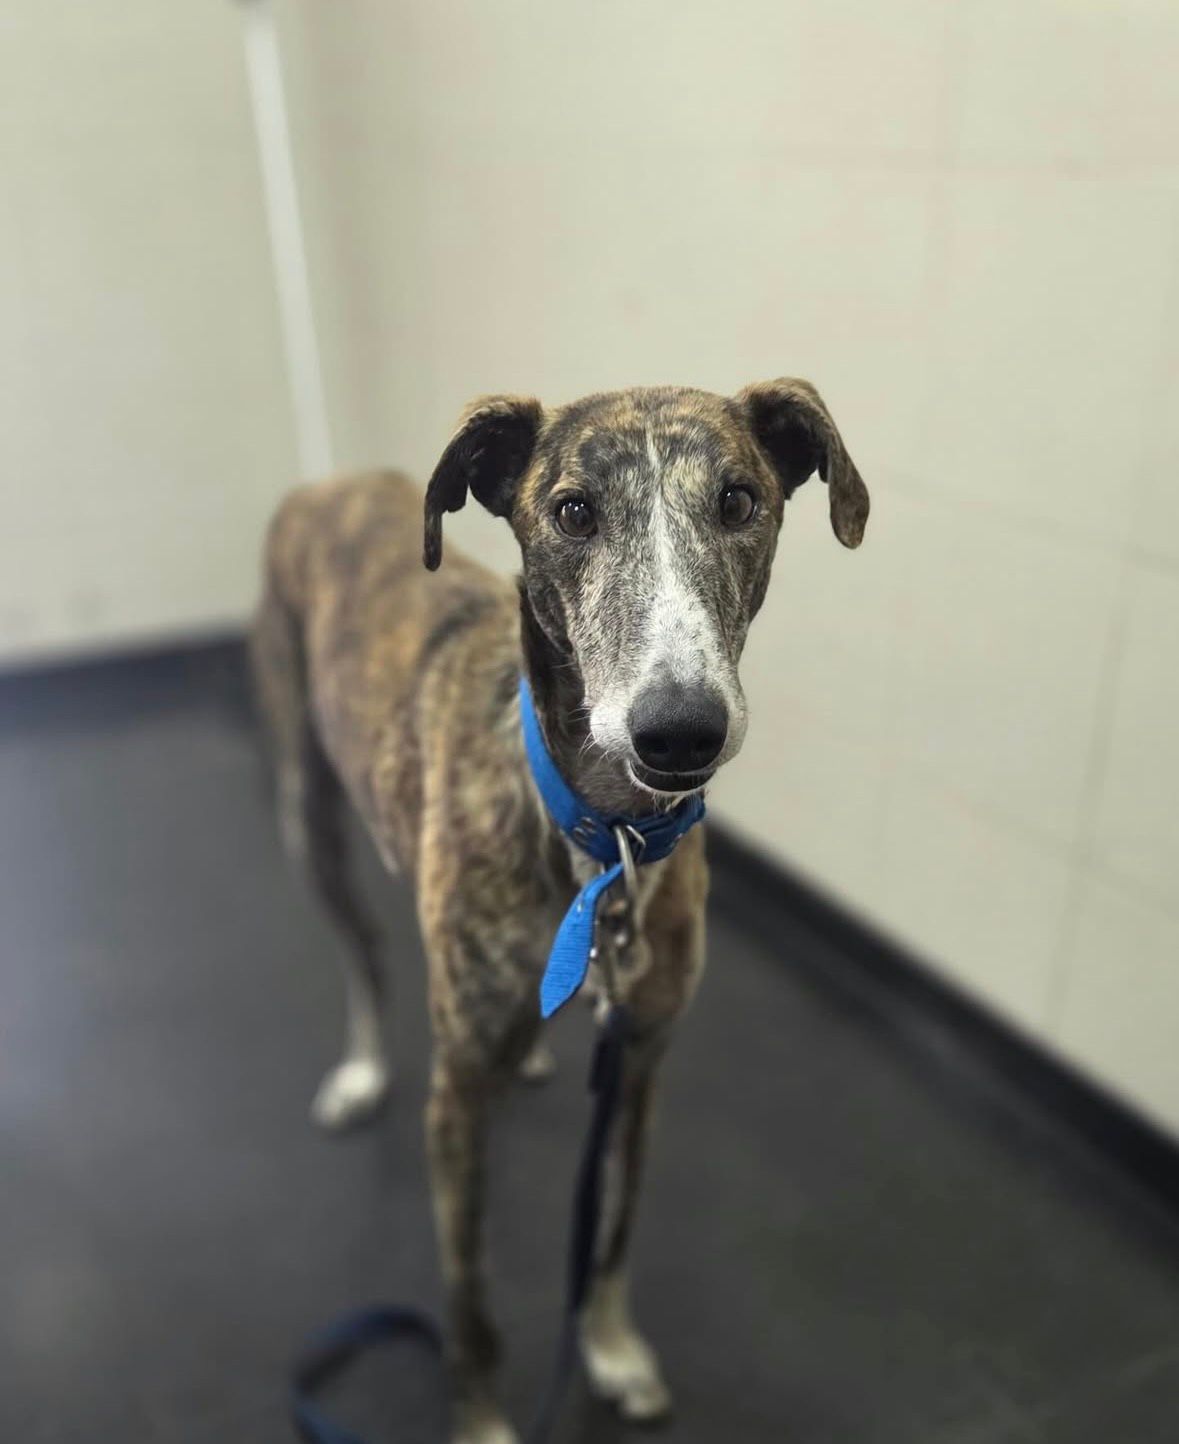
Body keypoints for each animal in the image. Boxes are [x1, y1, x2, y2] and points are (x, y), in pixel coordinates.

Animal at [250, 379, 868, 1444]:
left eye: (739, 500)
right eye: (573, 511)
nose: (679, 732)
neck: (599, 838)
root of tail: (328, 484)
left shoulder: (643, 1060)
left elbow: (611, 1232)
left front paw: (611, 1351)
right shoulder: (455, 1098)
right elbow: (470, 1299)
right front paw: (481, 1421)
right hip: (307, 811)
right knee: (361, 949)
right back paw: (361, 1070)